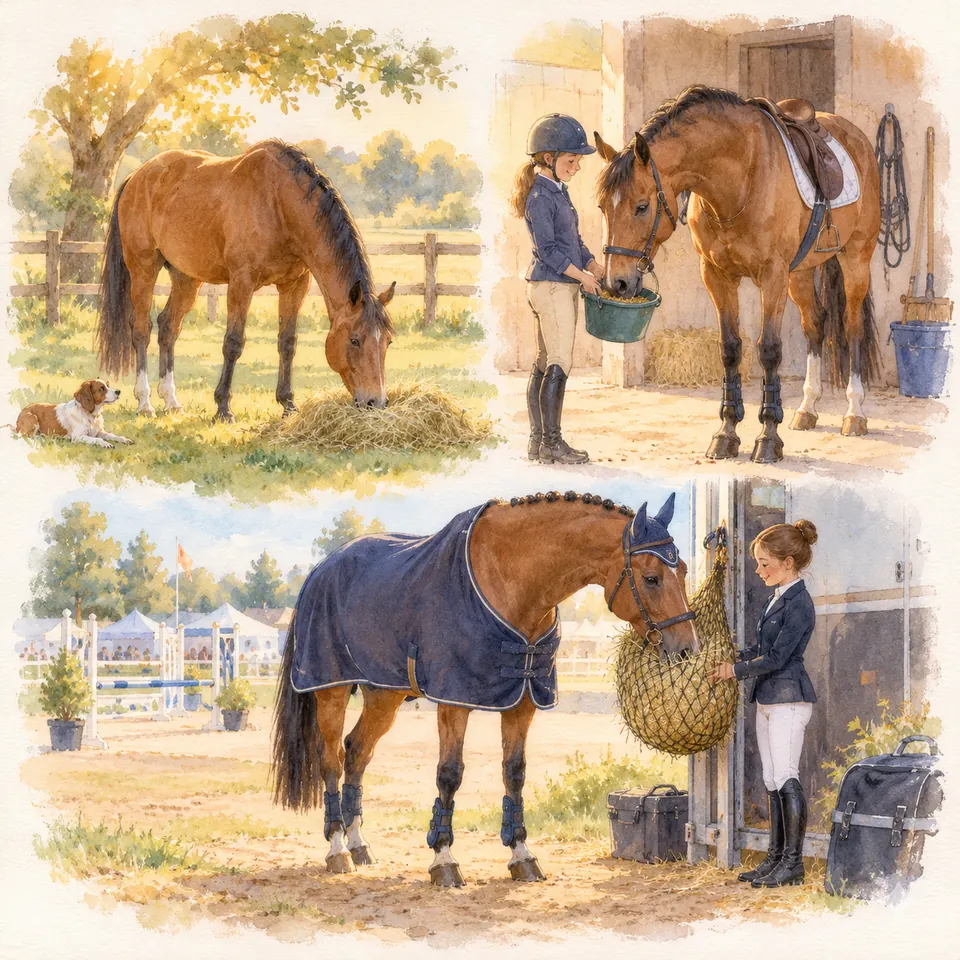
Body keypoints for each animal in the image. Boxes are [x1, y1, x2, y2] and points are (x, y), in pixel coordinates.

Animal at [97, 140, 396, 422]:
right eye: (355, 340)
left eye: (388, 342)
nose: (376, 402)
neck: (279, 203)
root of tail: (136, 176)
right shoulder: (242, 281)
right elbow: (233, 342)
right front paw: (223, 408)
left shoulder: (295, 285)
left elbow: (287, 342)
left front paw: (288, 404)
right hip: (143, 269)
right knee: (141, 330)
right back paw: (145, 402)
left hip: (186, 278)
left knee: (168, 327)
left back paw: (171, 400)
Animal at [272, 491, 698, 887]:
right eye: (651, 578)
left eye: (683, 571)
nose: (686, 649)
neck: (514, 584)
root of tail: (321, 570)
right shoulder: (454, 700)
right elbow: (449, 774)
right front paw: (443, 859)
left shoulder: (523, 701)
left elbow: (515, 773)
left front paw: (521, 855)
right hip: (332, 691)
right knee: (331, 759)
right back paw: (337, 849)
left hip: (384, 695)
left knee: (357, 752)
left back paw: (359, 844)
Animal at [594, 85, 881, 463]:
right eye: (602, 207)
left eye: (642, 207)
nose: (617, 282)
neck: (740, 178)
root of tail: (856, 137)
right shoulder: (717, 275)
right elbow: (730, 349)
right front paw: (726, 433)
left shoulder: (772, 275)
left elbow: (769, 350)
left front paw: (769, 439)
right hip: (801, 274)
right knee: (815, 326)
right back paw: (807, 408)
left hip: (855, 259)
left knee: (852, 328)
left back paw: (854, 413)